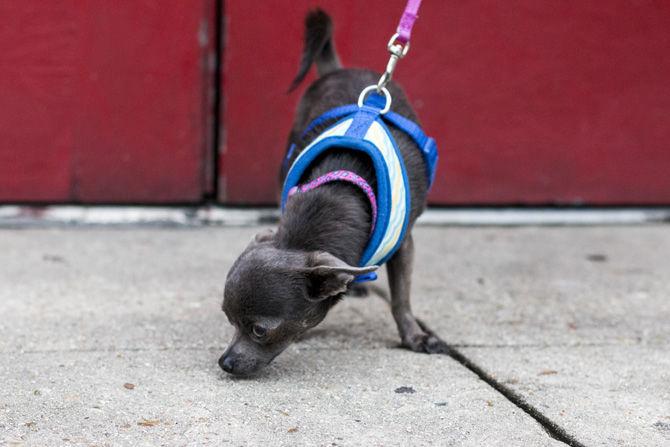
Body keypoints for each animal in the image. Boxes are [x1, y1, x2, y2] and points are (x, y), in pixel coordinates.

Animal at [218, 9, 444, 378]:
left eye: (260, 330)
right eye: (227, 318)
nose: (225, 362)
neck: (338, 193)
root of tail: (340, 68)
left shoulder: (404, 244)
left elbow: (400, 297)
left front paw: (413, 335)